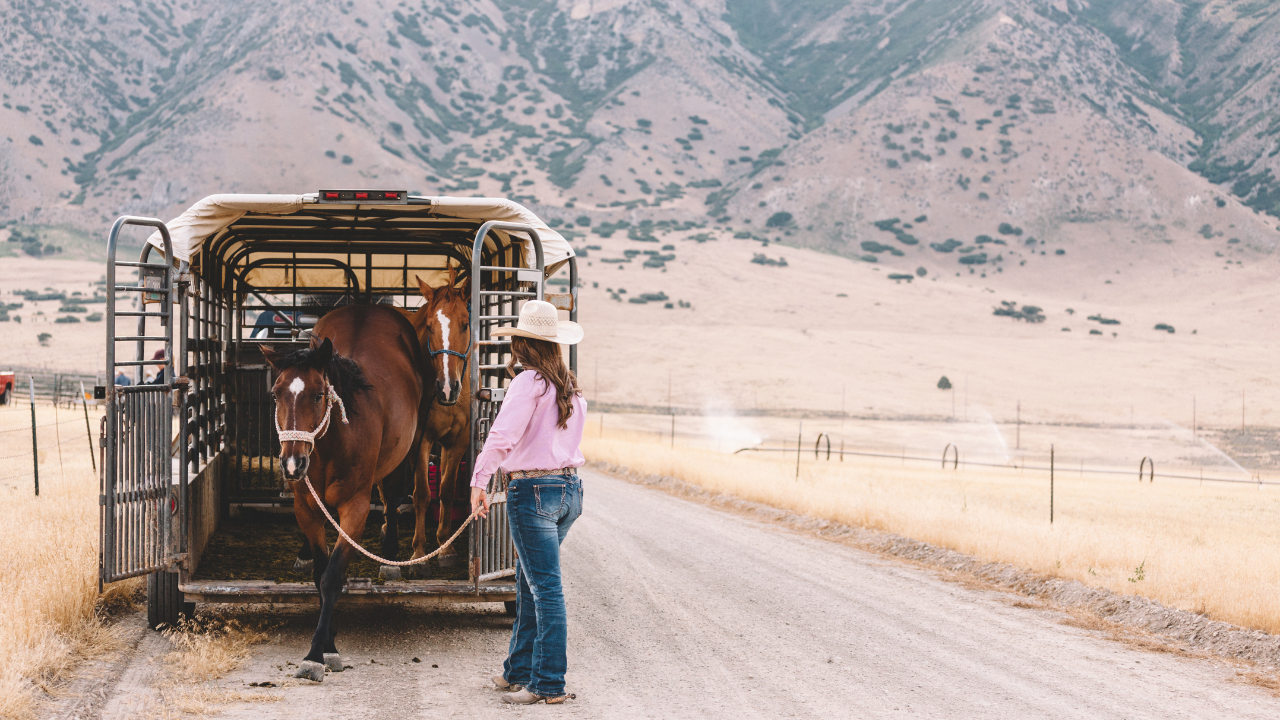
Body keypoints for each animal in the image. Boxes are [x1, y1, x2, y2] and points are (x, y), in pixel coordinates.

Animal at [262, 303, 426, 681]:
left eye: (319, 394)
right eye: (276, 394)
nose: (292, 463)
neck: (330, 447)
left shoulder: (355, 509)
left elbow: (333, 576)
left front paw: (317, 654)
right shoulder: (306, 508)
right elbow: (319, 574)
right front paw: (328, 642)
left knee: (392, 496)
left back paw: (390, 555)